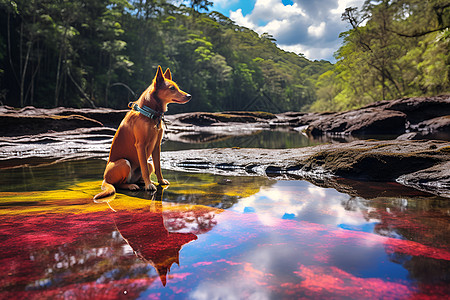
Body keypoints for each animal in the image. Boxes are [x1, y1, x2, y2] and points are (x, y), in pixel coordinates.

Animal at [95, 67, 192, 200]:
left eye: (177, 87)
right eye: (172, 88)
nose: (189, 96)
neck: (150, 113)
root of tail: (105, 179)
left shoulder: (157, 146)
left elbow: (158, 166)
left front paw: (160, 181)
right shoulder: (140, 145)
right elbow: (145, 169)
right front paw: (149, 185)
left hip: (147, 163)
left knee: (144, 170)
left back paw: (142, 182)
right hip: (124, 163)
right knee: (119, 184)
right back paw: (132, 186)